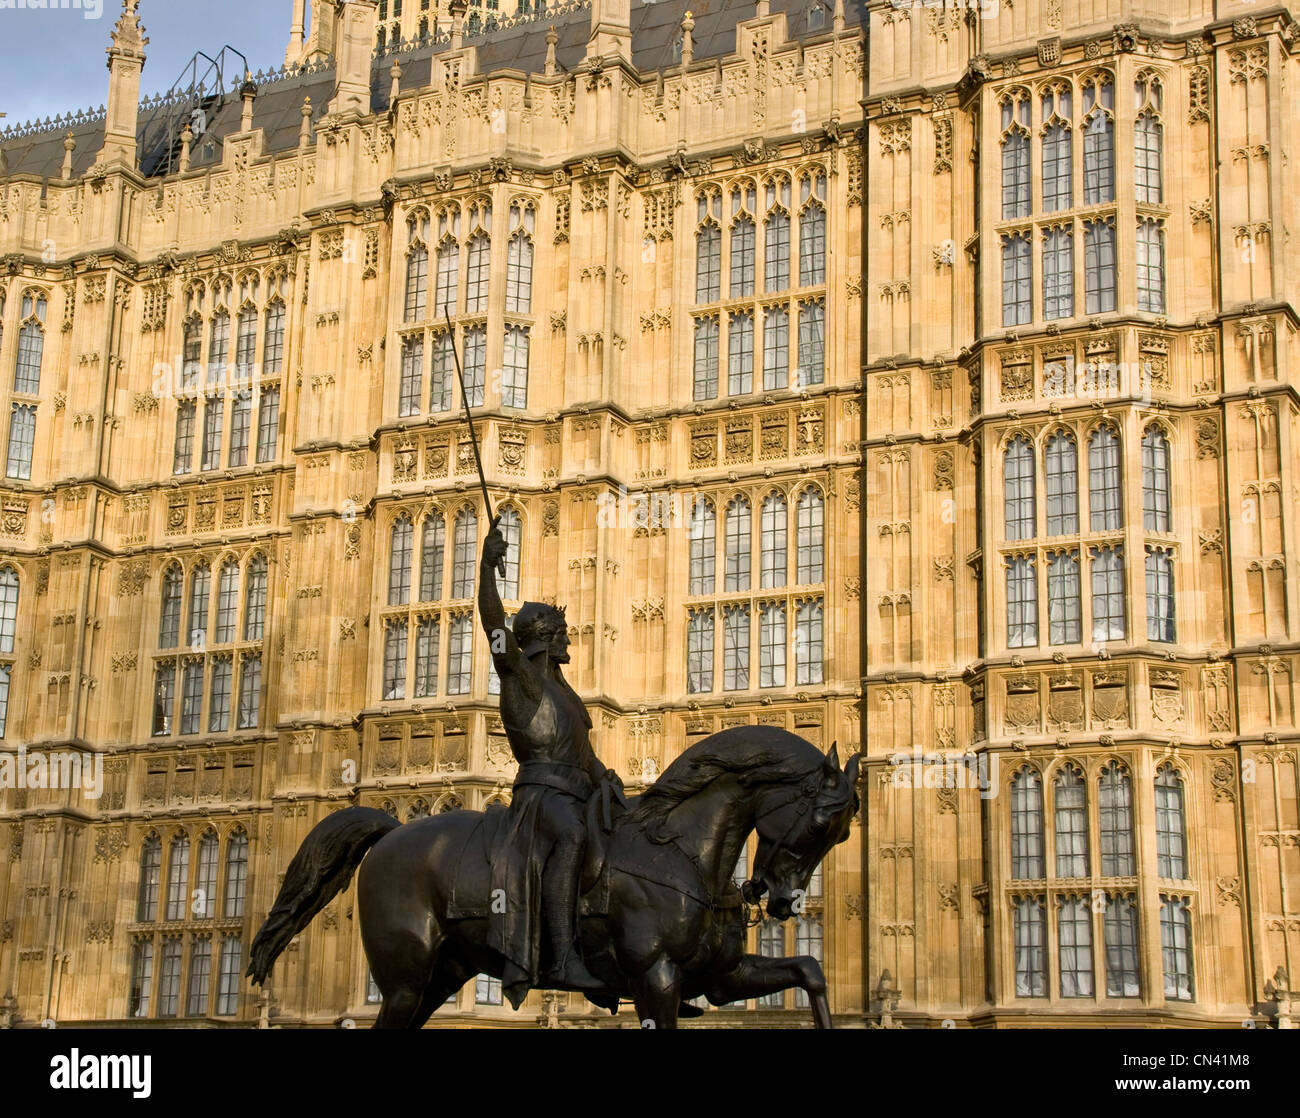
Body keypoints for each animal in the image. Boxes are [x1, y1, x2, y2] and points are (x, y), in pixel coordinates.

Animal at [249, 722, 863, 1029]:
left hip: (440, 977)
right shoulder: (656, 978)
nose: (780, 901)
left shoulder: (719, 976)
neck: (678, 854)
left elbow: (810, 971)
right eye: (820, 823)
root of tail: (392, 831)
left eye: (843, 836)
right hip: (404, 978)